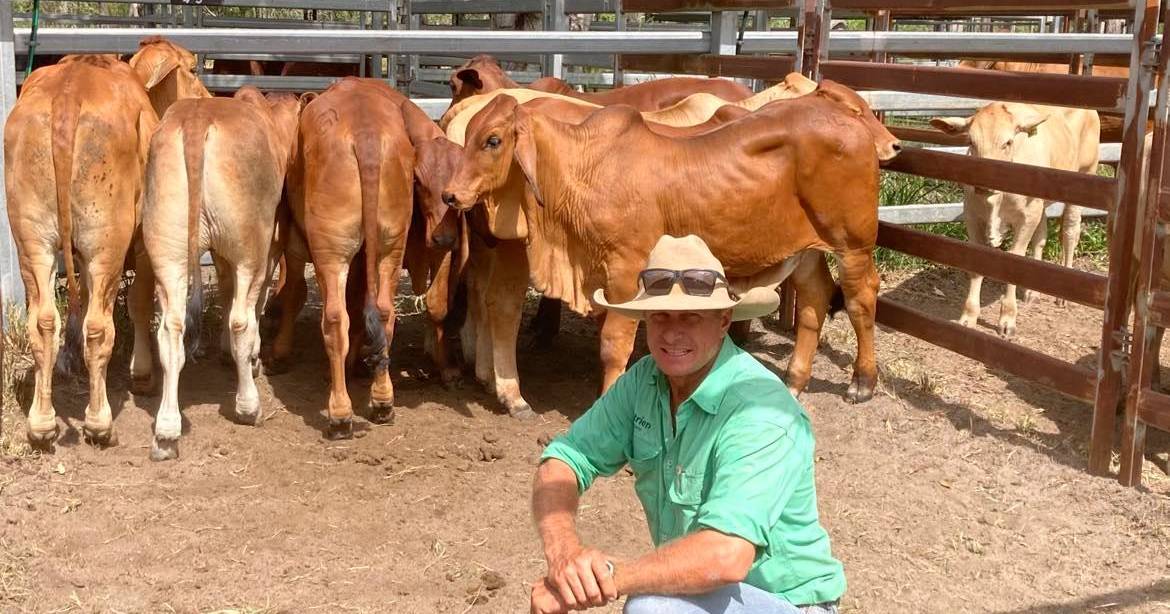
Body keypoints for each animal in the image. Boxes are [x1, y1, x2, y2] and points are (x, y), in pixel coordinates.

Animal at [4, 53, 157, 444]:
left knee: (43, 321)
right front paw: (142, 373)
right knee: (98, 327)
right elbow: (139, 302)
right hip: (106, 244)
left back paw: (41, 424)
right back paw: (100, 423)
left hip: (32, 240)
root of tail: (68, 94)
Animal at [140, 87, 301, 458]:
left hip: (167, 249)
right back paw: (248, 406)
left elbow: (226, 292)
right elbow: (253, 305)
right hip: (249, 249)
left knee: (170, 329)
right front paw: (252, 358)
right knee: (241, 319)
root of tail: (197, 117)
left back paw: (166, 431)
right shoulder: (269, 249)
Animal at [926, 103, 1099, 336]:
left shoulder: (1025, 219)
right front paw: (968, 316)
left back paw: (1062, 295)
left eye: (1007, 142)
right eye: (971, 142)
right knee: (1040, 237)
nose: (982, 182)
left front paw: (1007, 318)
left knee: (1070, 232)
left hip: (1083, 178)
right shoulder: (973, 216)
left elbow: (1014, 259)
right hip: (1039, 204)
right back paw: (1031, 291)